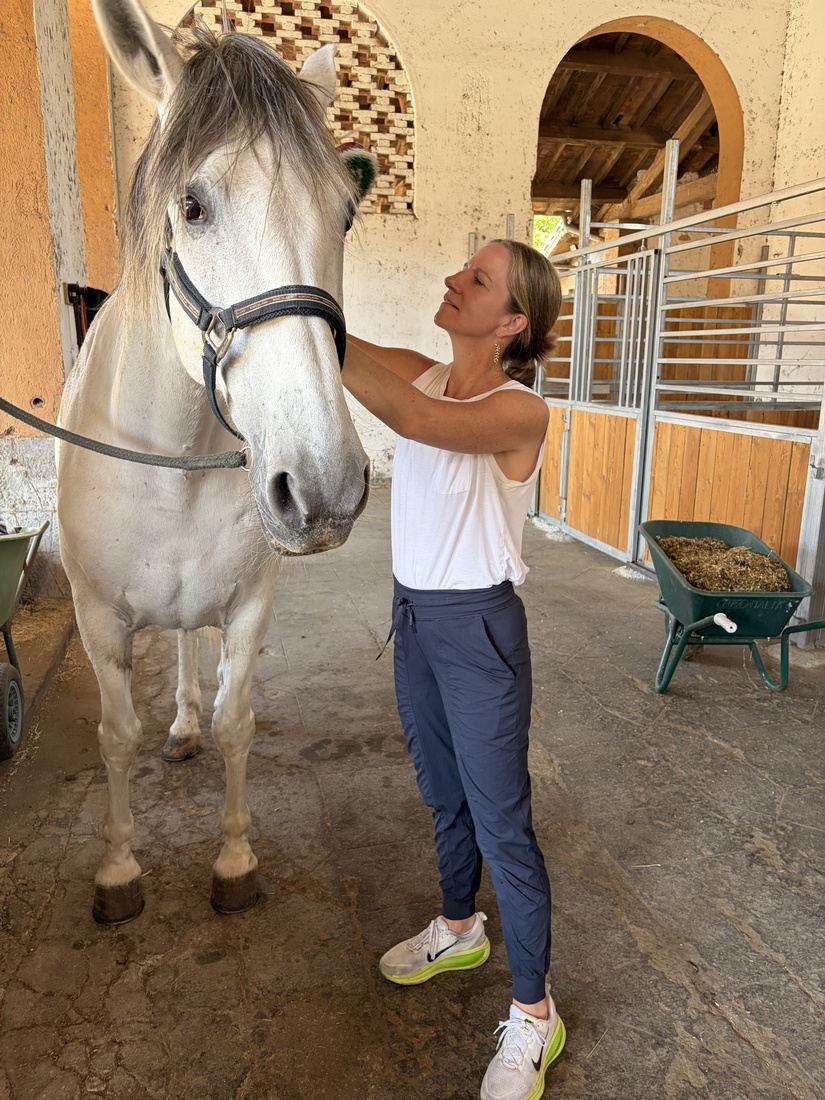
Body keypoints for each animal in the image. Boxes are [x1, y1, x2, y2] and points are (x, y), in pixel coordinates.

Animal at [56, 0, 371, 924]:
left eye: (343, 214)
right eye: (191, 205)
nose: (324, 486)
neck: (176, 462)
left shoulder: (247, 607)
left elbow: (237, 721)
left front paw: (234, 861)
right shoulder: (98, 618)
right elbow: (115, 736)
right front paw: (118, 869)